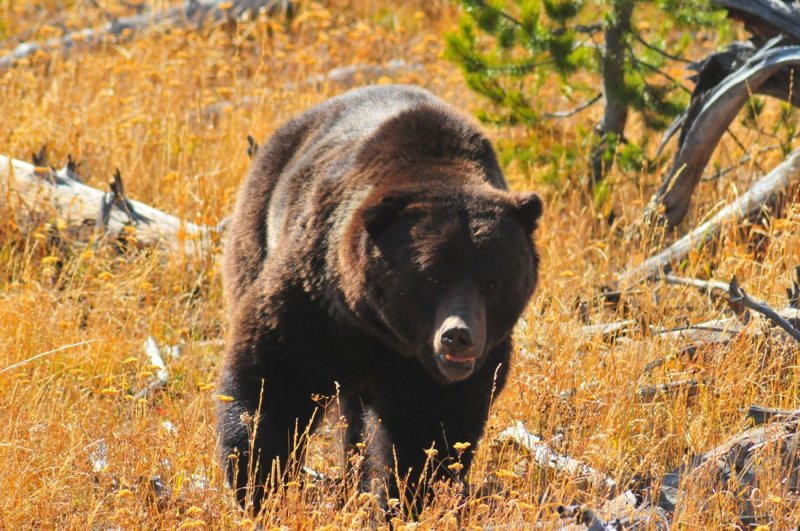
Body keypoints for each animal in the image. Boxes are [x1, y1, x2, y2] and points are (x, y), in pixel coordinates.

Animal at [219, 85, 544, 512]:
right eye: (434, 277)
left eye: (491, 280)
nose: (458, 335)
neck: (384, 330)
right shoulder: (319, 302)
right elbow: (273, 379)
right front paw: (258, 485)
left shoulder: (443, 371)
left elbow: (425, 430)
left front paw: (403, 498)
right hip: (257, 229)